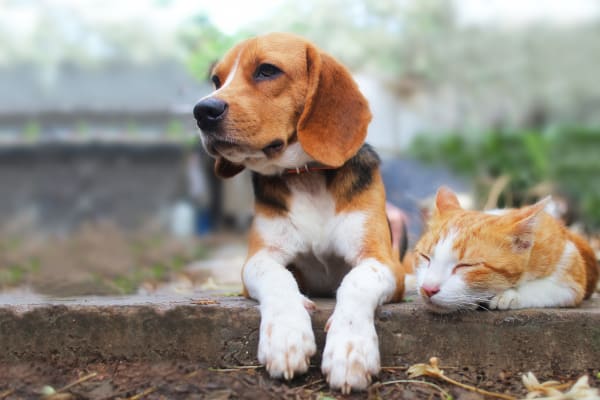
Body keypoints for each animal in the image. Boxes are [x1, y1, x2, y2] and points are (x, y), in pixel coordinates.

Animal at [195, 33, 406, 394]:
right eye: (216, 80)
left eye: (267, 70)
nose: (202, 111)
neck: (306, 176)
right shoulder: (259, 258)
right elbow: (278, 278)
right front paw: (286, 336)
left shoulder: (383, 261)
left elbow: (356, 281)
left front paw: (350, 349)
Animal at [414, 186, 596, 314]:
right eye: (425, 257)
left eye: (466, 266)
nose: (428, 289)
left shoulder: (572, 272)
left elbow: (548, 288)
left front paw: (508, 295)